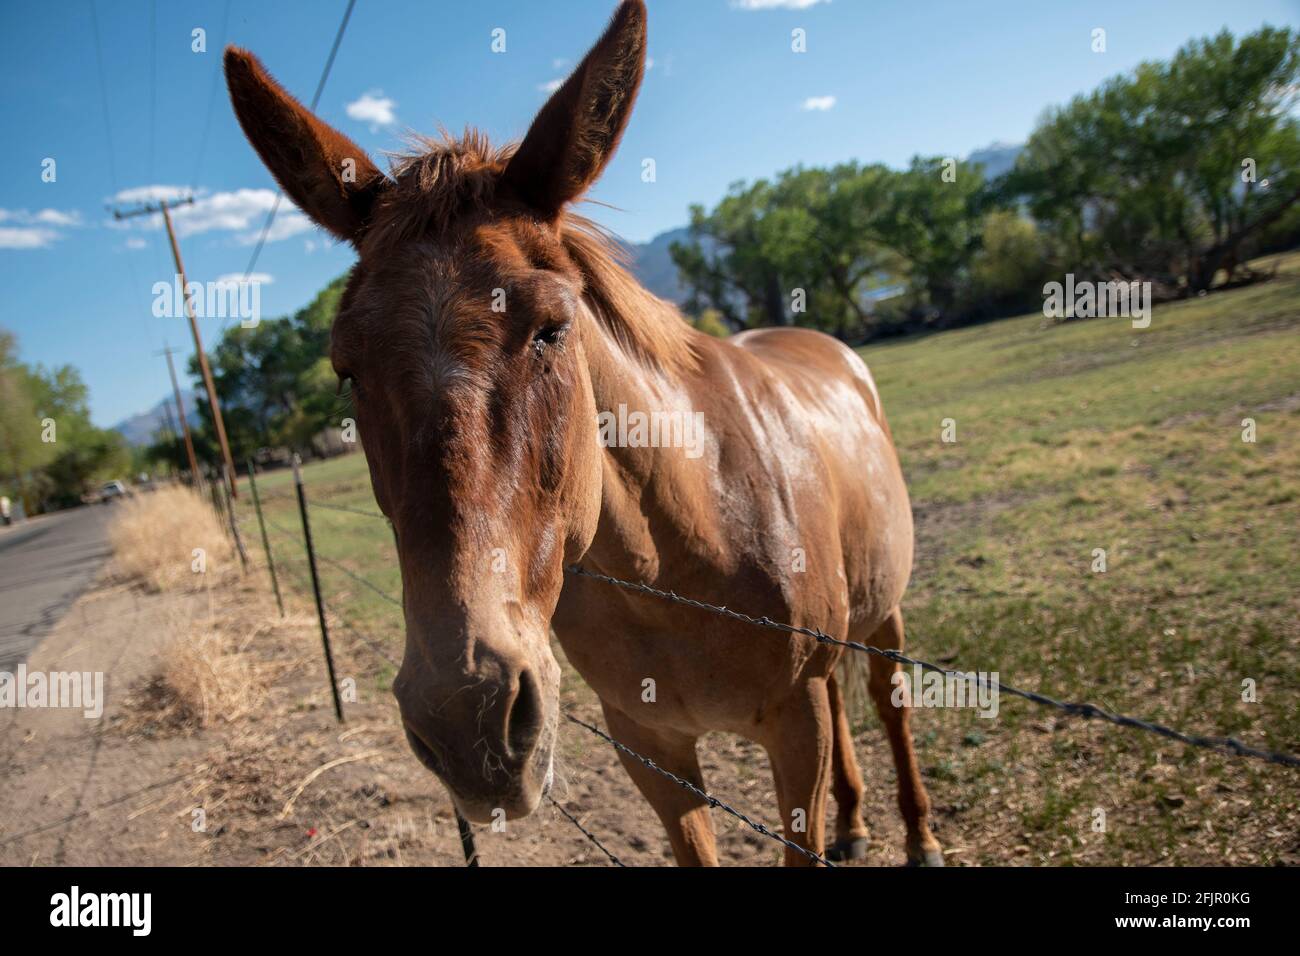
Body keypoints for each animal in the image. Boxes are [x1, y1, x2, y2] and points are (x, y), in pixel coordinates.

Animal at [223, 0, 935, 868]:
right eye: (345, 369)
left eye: (552, 329)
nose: (467, 722)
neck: (687, 545)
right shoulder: (650, 749)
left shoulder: (792, 734)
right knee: (843, 693)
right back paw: (858, 821)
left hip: (884, 610)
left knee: (886, 700)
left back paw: (918, 833)